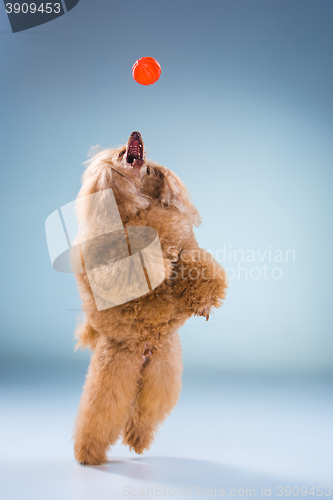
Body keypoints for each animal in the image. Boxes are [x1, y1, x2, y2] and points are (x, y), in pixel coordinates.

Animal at [73, 130, 227, 464]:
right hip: (114, 369)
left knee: (145, 411)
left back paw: (138, 439)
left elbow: (195, 264)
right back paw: (88, 453)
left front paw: (203, 302)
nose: (135, 133)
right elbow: (142, 266)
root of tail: (142, 352)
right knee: (100, 412)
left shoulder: (186, 248)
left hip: (162, 370)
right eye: (122, 154)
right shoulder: (120, 260)